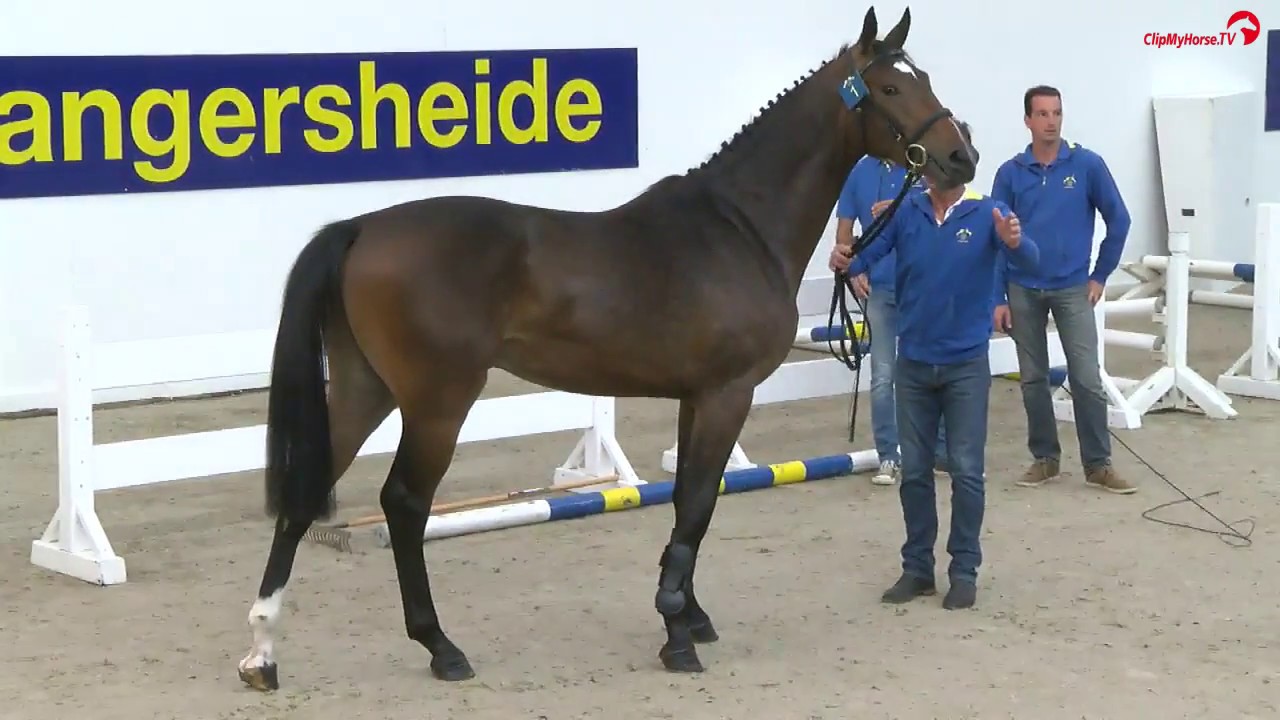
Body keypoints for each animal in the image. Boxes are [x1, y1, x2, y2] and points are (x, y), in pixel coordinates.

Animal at [236, 5, 977, 692]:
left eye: (925, 79)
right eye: (888, 87)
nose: (960, 157)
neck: (739, 227)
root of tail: (361, 227)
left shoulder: (694, 397)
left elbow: (688, 504)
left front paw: (690, 616)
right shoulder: (726, 395)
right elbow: (697, 505)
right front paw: (676, 635)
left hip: (365, 390)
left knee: (305, 494)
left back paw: (263, 652)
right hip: (438, 403)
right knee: (405, 504)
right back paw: (440, 646)